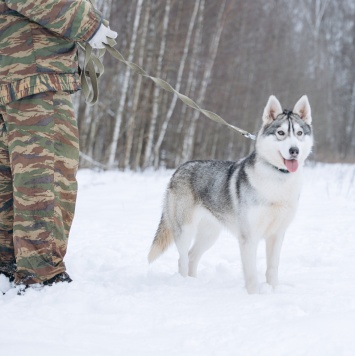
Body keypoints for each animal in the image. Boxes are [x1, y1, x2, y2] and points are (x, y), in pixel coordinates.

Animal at [149, 94, 312, 292]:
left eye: (299, 133)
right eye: (281, 133)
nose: (294, 150)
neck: (277, 180)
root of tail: (179, 168)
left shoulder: (277, 234)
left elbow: (272, 269)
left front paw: (273, 292)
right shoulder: (249, 237)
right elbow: (252, 274)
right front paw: (254, 295)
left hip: (210, 234)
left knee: (192, 256)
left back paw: (194, 282)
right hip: (185, 230)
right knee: (183, 259)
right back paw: (184, 284)